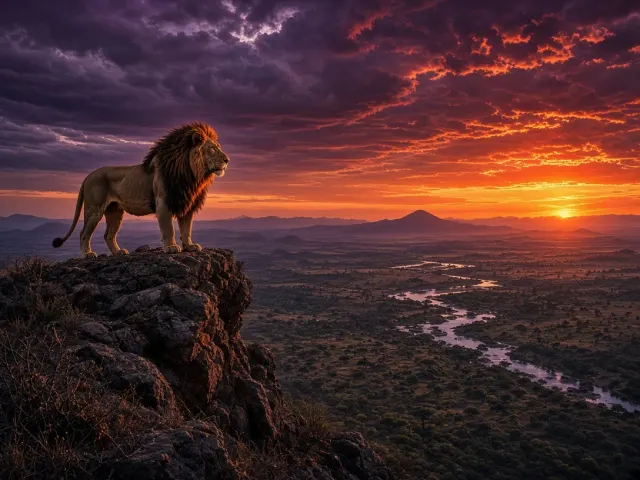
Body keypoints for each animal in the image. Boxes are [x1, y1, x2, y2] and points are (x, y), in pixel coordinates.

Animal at [52, 122, 230, 258]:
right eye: (212, 149)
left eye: (218, 147)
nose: (227, 159)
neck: (191, 174)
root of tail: (88, 176)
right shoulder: (163, 202)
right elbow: (169, 229)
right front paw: (171, 247)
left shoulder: (185, 202)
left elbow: (186, 228)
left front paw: (190, 246)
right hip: (94, 209)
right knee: (83, 233)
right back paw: (87, 254)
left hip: (115, 211)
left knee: (108, 235)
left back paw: (118, 252)